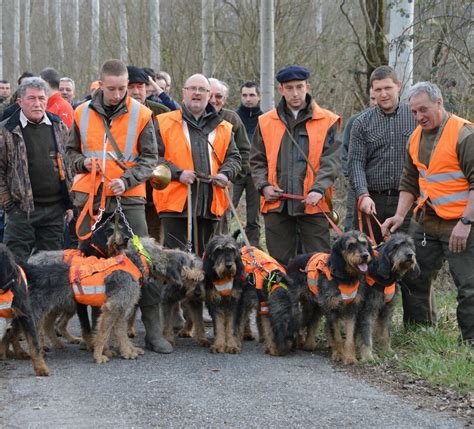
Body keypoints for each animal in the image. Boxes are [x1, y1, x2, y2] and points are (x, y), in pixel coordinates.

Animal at [286, 231, 372, 364]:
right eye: (350, 245)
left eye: (364, 243)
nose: (365, 255)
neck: (345, 277)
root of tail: (293, 260)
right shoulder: (332, 310)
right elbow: (336, 336)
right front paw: (338, 354)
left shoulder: (352, 311)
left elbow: (350, 338)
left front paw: (350, 357)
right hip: (297, 306)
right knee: (298, 322)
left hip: (314, 307)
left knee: (310, 322)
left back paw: (308, 344)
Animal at [358, 232, 420, 360]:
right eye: (396, 246)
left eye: (409, 245)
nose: (410, 255)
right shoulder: (368, 310)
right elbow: (366, 334)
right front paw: (368, 356)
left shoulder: (387, 310)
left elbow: (386, 332)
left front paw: (387, 350)